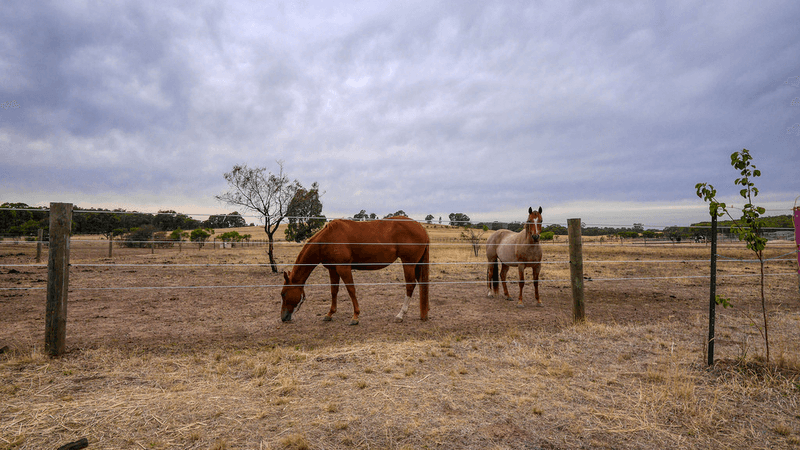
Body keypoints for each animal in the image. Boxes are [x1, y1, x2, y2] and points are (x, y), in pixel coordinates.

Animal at [282, 217, 432, 326]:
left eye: (283, 294)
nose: (283, 317)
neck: (327, 239)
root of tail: (421, 228)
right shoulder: (333, 270)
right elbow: (334, 291)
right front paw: (330, 314)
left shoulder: (343, 268)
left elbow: (351, 290)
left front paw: (355, 317)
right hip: (416, 265)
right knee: (421, 284)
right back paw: (425, 312)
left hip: (408, 264)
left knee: (410, 285)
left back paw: (400, 315)